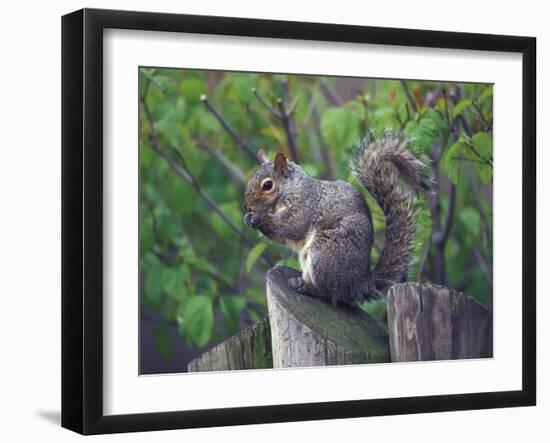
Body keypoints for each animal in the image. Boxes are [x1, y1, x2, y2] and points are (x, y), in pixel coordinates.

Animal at [244, 132, 434, 306]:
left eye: (268, 185)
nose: (248, 207)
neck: (290, 189)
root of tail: (357, 285)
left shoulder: (305, 205)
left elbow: (293, 225)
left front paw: (260, 218)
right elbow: (281, 237)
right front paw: (248, 218)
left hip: (324, 254)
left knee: (328, 294)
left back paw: (304, 286)